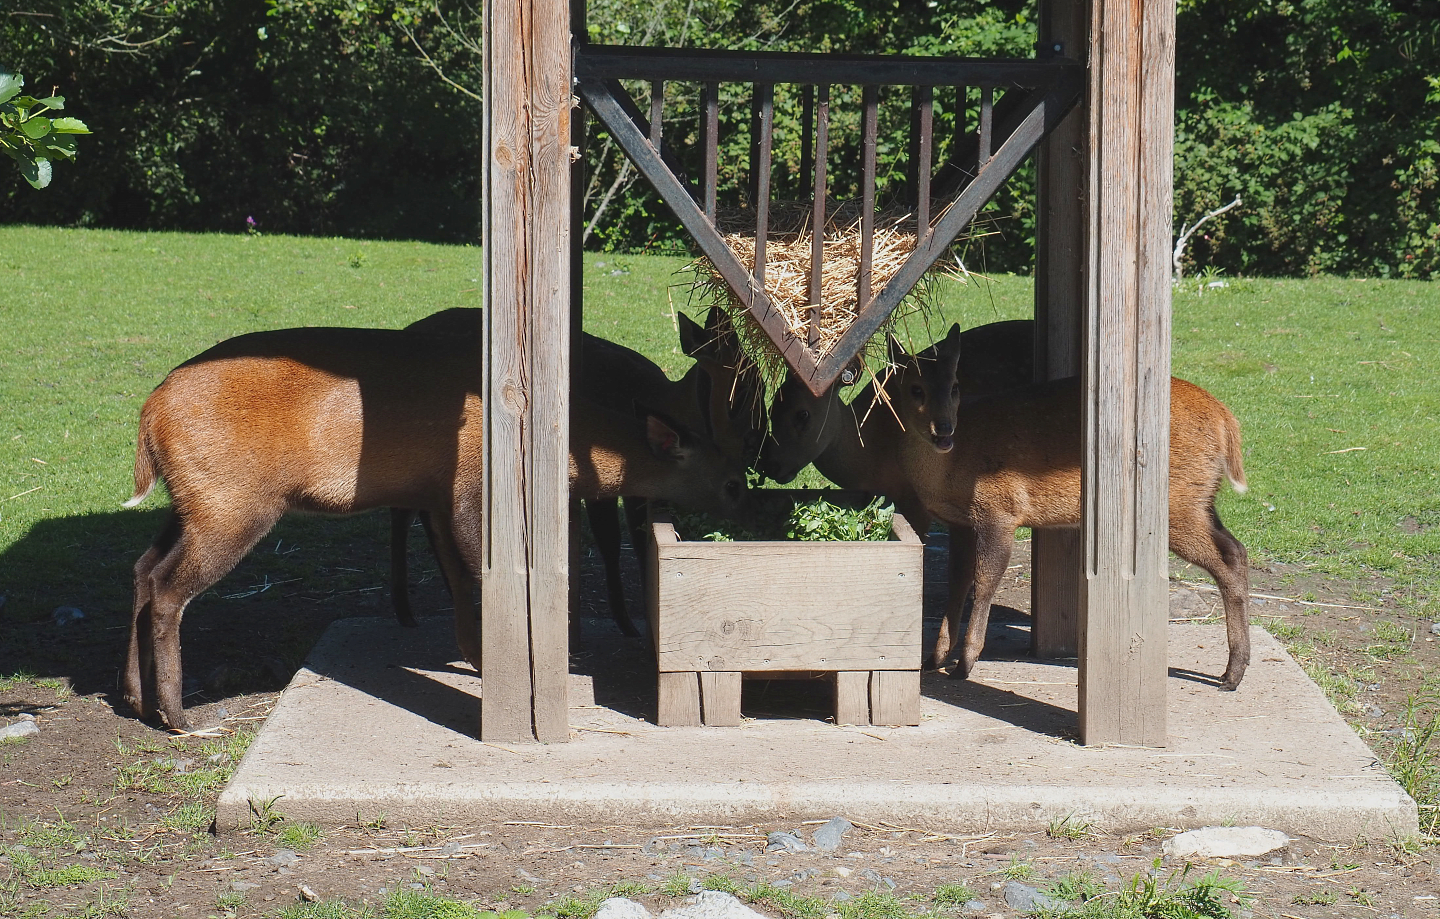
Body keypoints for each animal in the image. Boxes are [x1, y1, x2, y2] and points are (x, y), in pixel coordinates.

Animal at [391, 306, 763, 636]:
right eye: (743, 389)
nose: (758, 445)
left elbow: (641, 538)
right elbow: (611, 541)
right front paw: (628, 624)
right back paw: (407, 611)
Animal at [886, 328, 1252, 690]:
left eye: (955, 386)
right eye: (915, 388)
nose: (944, 430)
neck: (950, 471)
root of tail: (1226, 419)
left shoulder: (999, 511)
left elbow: (985, 580)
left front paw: (965, 663)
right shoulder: (958, 522)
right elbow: (957, 583)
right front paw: (934, 659)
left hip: (1178, 504)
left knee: (1226, 558)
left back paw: (1232, 674)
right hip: (1201, 499)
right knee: (1236, 549)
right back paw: (1232, 670)